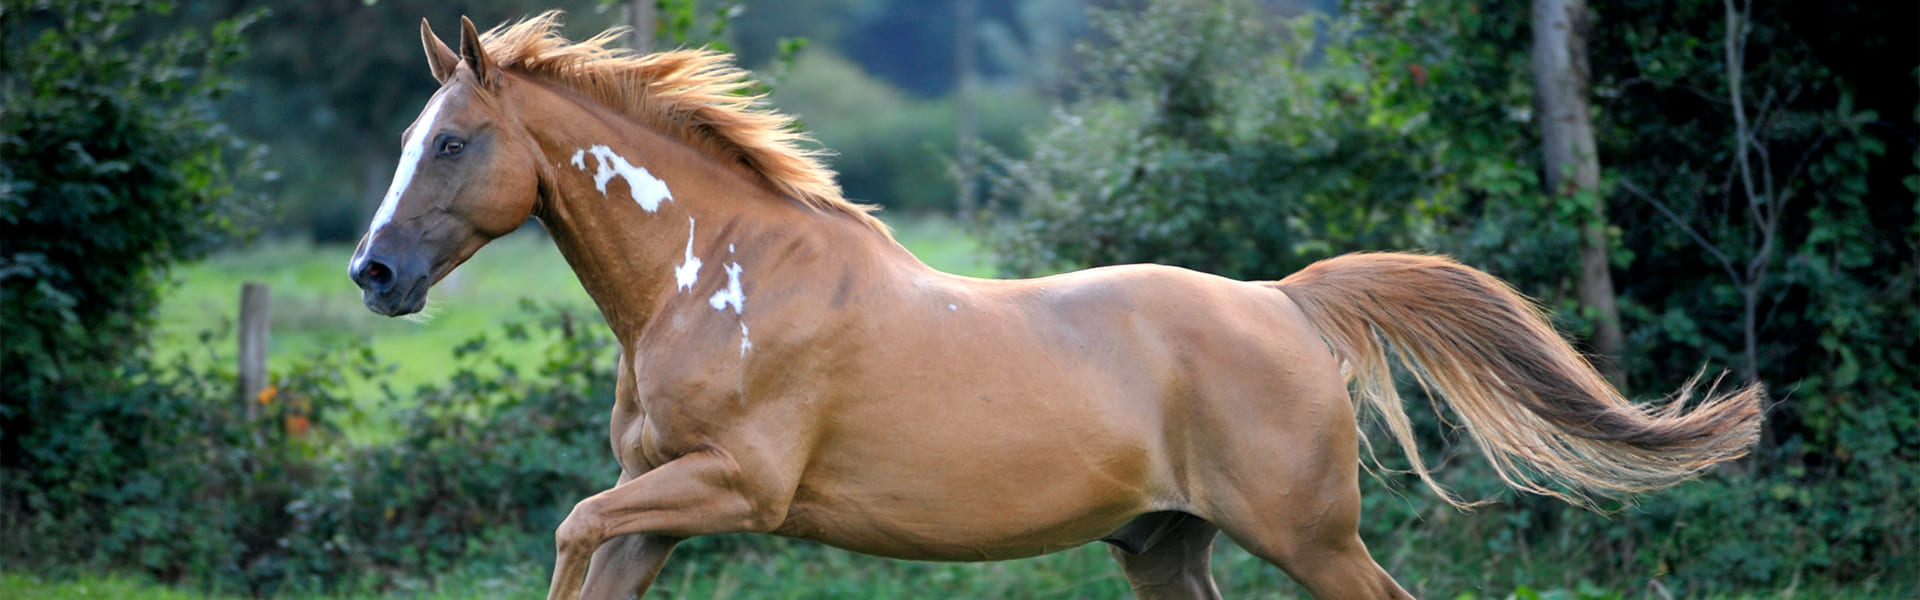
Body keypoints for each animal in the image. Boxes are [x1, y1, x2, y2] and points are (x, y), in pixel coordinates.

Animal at [353, 14, 1758, 600]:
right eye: (412, 138)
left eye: (454, 143)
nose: (374, 275)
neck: (721, 273)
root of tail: (1288, 304)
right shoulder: (660, 507)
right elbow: (586, 550)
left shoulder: (730, 488)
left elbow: (567, 528)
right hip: (1165, 547)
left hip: (1309, 539)